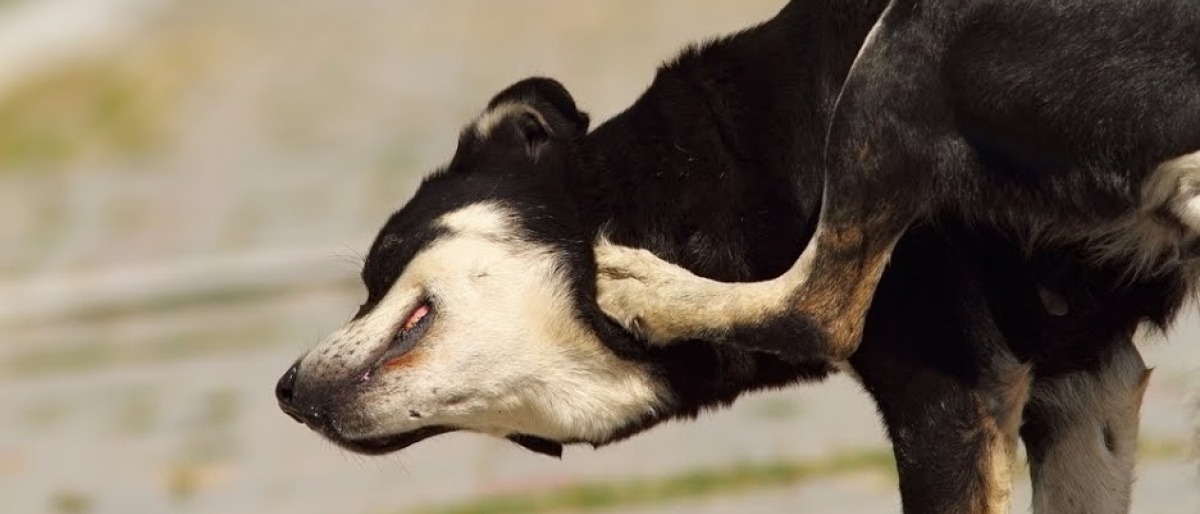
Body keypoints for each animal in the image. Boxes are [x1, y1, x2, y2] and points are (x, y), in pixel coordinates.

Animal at [274, 2, 1190, 511]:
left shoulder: (952, 392)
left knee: (820, 310)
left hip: (905, 46)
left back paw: (650, 289)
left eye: (378, 266)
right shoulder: (1083, 389)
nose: (282, 392)